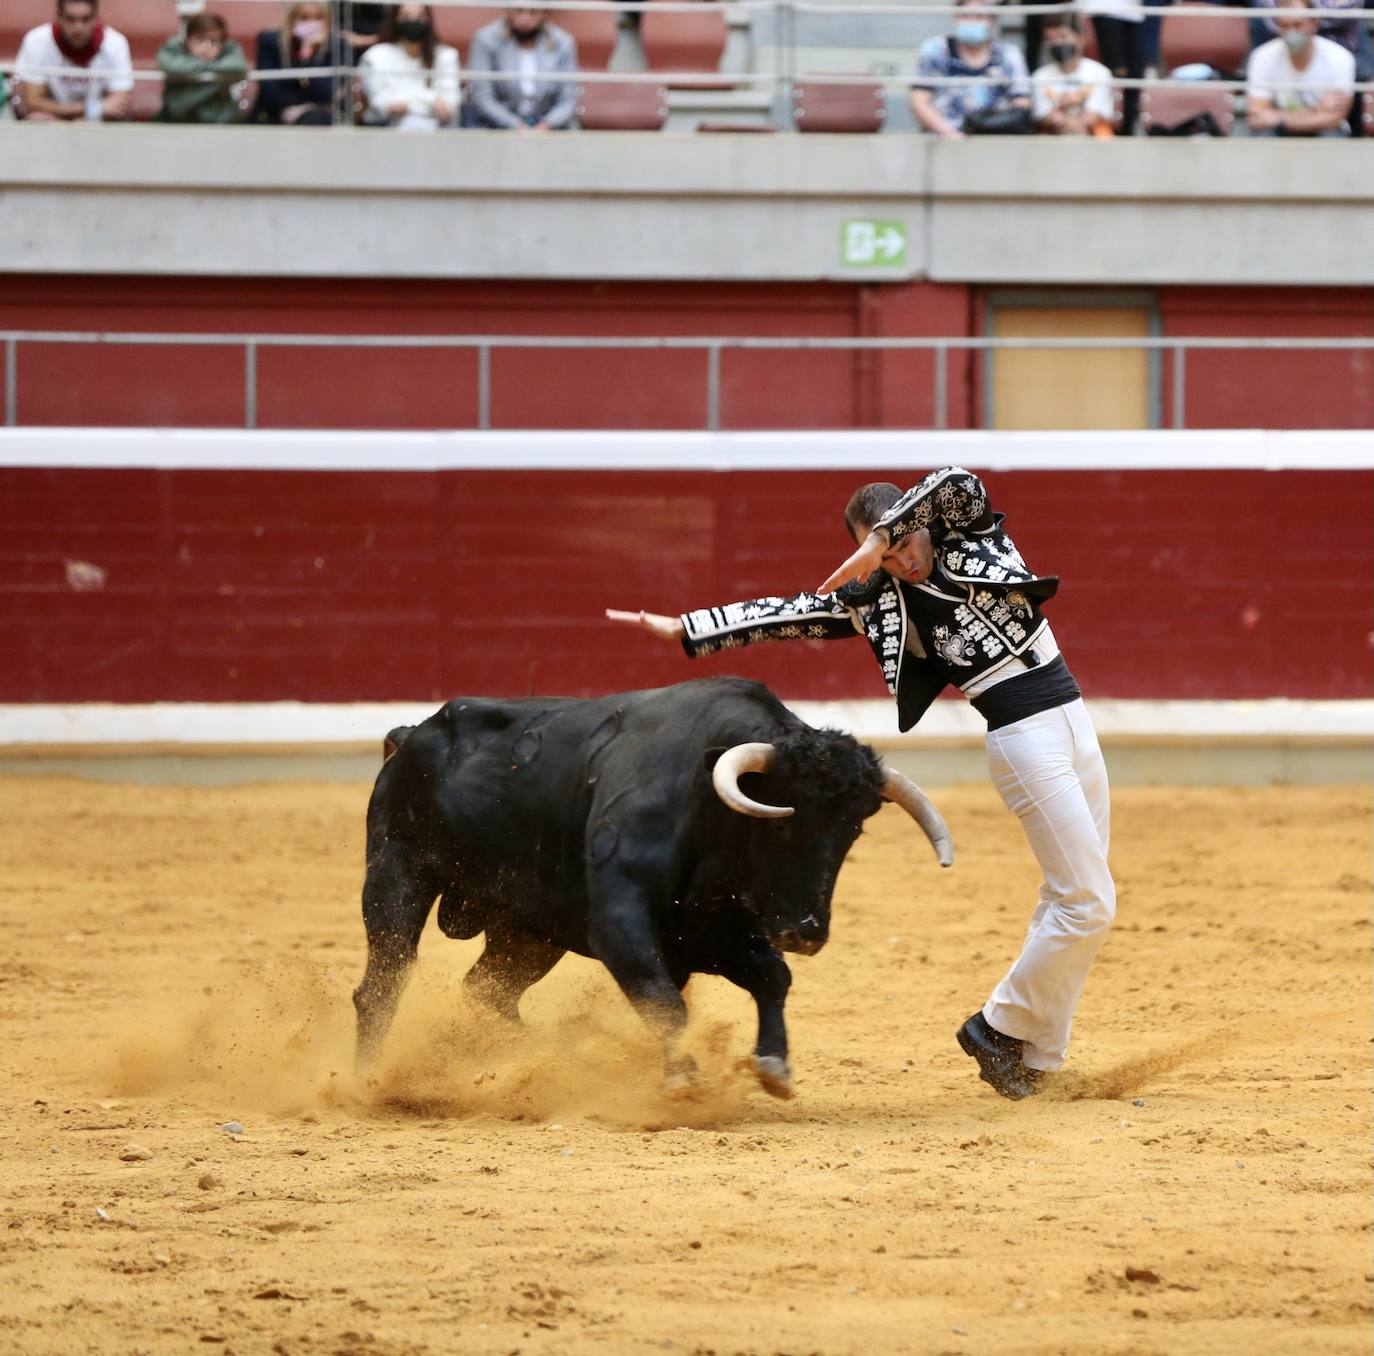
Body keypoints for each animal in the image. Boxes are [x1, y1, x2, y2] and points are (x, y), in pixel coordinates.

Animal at [354, 673, 956, 1099]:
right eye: (783, 822)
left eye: (853, 830)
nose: (806, 932)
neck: (705, 810)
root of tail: (410, 735)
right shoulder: (620, 922)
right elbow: (663, 999)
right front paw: (683, 1078)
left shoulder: (712, 934)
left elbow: (771, 978)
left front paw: (774, 1067)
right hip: (396, 874)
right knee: (384, 980)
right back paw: (367, 1080)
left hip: (528, 932)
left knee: (485, 991)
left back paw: (534, 1055)